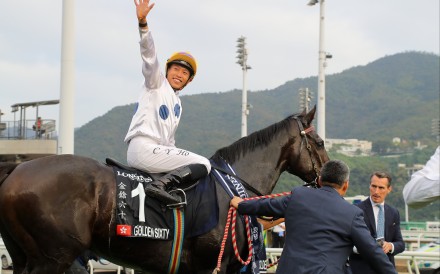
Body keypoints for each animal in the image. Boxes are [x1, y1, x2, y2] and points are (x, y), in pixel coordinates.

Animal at [0, 106, 328, 272]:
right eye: (320, 142)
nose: (330, 176)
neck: (234, 188)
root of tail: (17, 168)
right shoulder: (214, 265)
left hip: (24, 258)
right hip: (54, 257)